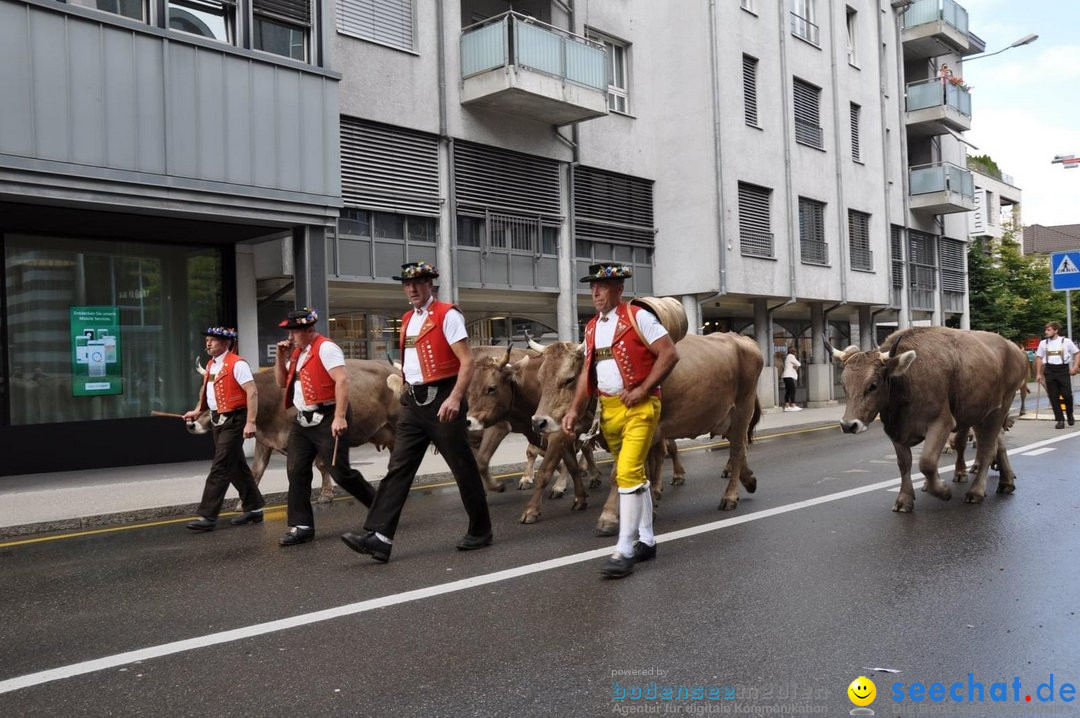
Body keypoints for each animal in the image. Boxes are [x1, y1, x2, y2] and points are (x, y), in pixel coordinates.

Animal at [190, 360, 401, 500]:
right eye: (200, 395)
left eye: (215, 398)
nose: (191, 424)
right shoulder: (265, 440)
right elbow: (257, 469)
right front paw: (242, 504)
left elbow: (319, 465)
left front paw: (325, 494)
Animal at [529, 332, 764, 531]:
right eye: (540, 377)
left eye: (569, 379)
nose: (538, 422)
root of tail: (741, 339)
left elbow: (620, 472)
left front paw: (609, 515)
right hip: (726, 418)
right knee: (738, 448)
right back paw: (749, 480)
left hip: (742, 411)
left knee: (737, 450)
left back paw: (730, 496)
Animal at [825, 323, 1028, 509]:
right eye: (843, 384)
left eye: (873, 385)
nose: (848, 425)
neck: (908, 379)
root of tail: (1012, 347)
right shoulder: (895, 431)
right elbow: (904, 464)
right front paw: (904, 499)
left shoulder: (942, 422)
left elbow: (927, 462)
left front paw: (942, 491)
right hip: (980, 413)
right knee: (997, 442)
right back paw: (1006, 482)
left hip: (999, 409)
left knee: (987, 449)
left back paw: (976, 492)